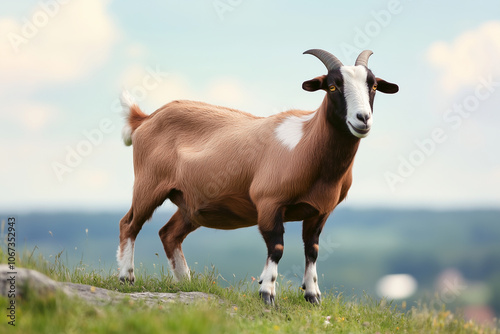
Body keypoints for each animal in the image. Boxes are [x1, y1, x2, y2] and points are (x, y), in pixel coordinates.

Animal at [117, 48, 398, 304]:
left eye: (373, 85)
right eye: (331, 86)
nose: (363, 118)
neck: (306, 144)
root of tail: (144, 119)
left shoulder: (320, 211)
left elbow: (312, 250)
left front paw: (312, 296)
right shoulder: (269, 202)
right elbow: (277, 248)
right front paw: (267, 293)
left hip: (190, 204)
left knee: (169, 234)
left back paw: (186, 283)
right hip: (149, 184)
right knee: (129, 224)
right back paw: (126, 277)